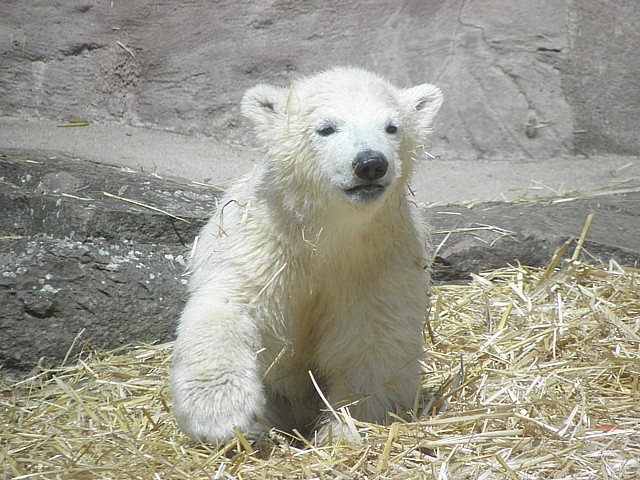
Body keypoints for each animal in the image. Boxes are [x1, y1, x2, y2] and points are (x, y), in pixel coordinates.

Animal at [170, 66, 443, 443]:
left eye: (392, 126)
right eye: (326, 127)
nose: (370, 164)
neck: (328, 236)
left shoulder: (380, 262)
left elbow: (373, 343)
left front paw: (341, 428)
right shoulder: (269, 245)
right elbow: (231, 306)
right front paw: (220, 411)